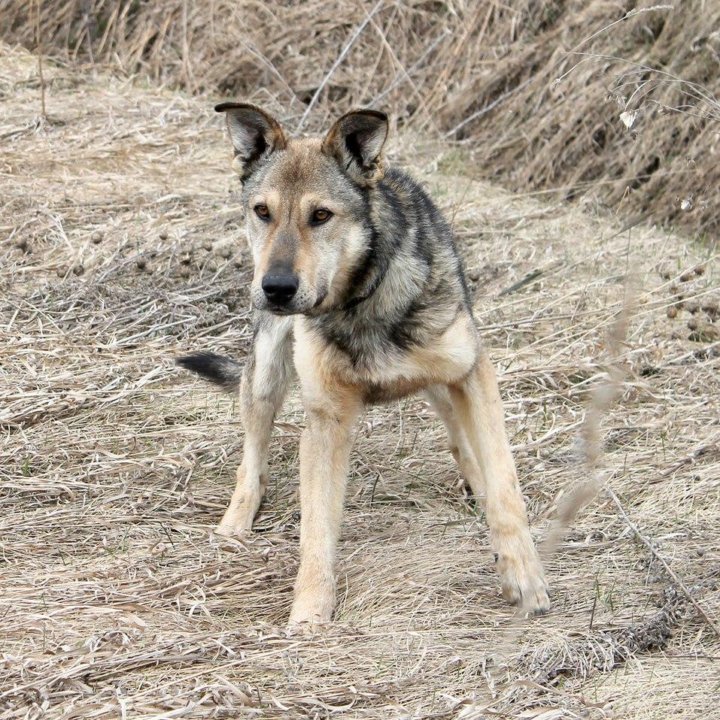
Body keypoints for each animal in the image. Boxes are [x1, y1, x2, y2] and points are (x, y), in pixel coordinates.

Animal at [177, 104, 548, 628]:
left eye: (321, 216)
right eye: (263, 212)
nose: (276, 288)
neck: (360, 299)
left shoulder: (471, 371)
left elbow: (504, 484)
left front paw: (524, 578)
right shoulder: (326, 417)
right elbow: (317, 527)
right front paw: (310, 613)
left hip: (443, 380)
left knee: (462, 441)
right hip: (267, 370)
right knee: (253, 454)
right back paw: (236, 522)